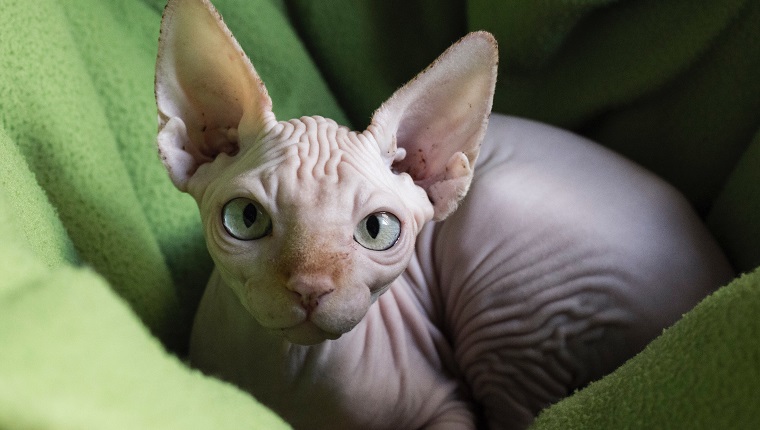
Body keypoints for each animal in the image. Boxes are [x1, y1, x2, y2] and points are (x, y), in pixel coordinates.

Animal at [153, 1, 732, 428]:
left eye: (377, 230)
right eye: (246, 219)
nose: (310, 289)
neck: (288, 375)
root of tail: (715, 275)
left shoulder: (448, 406)